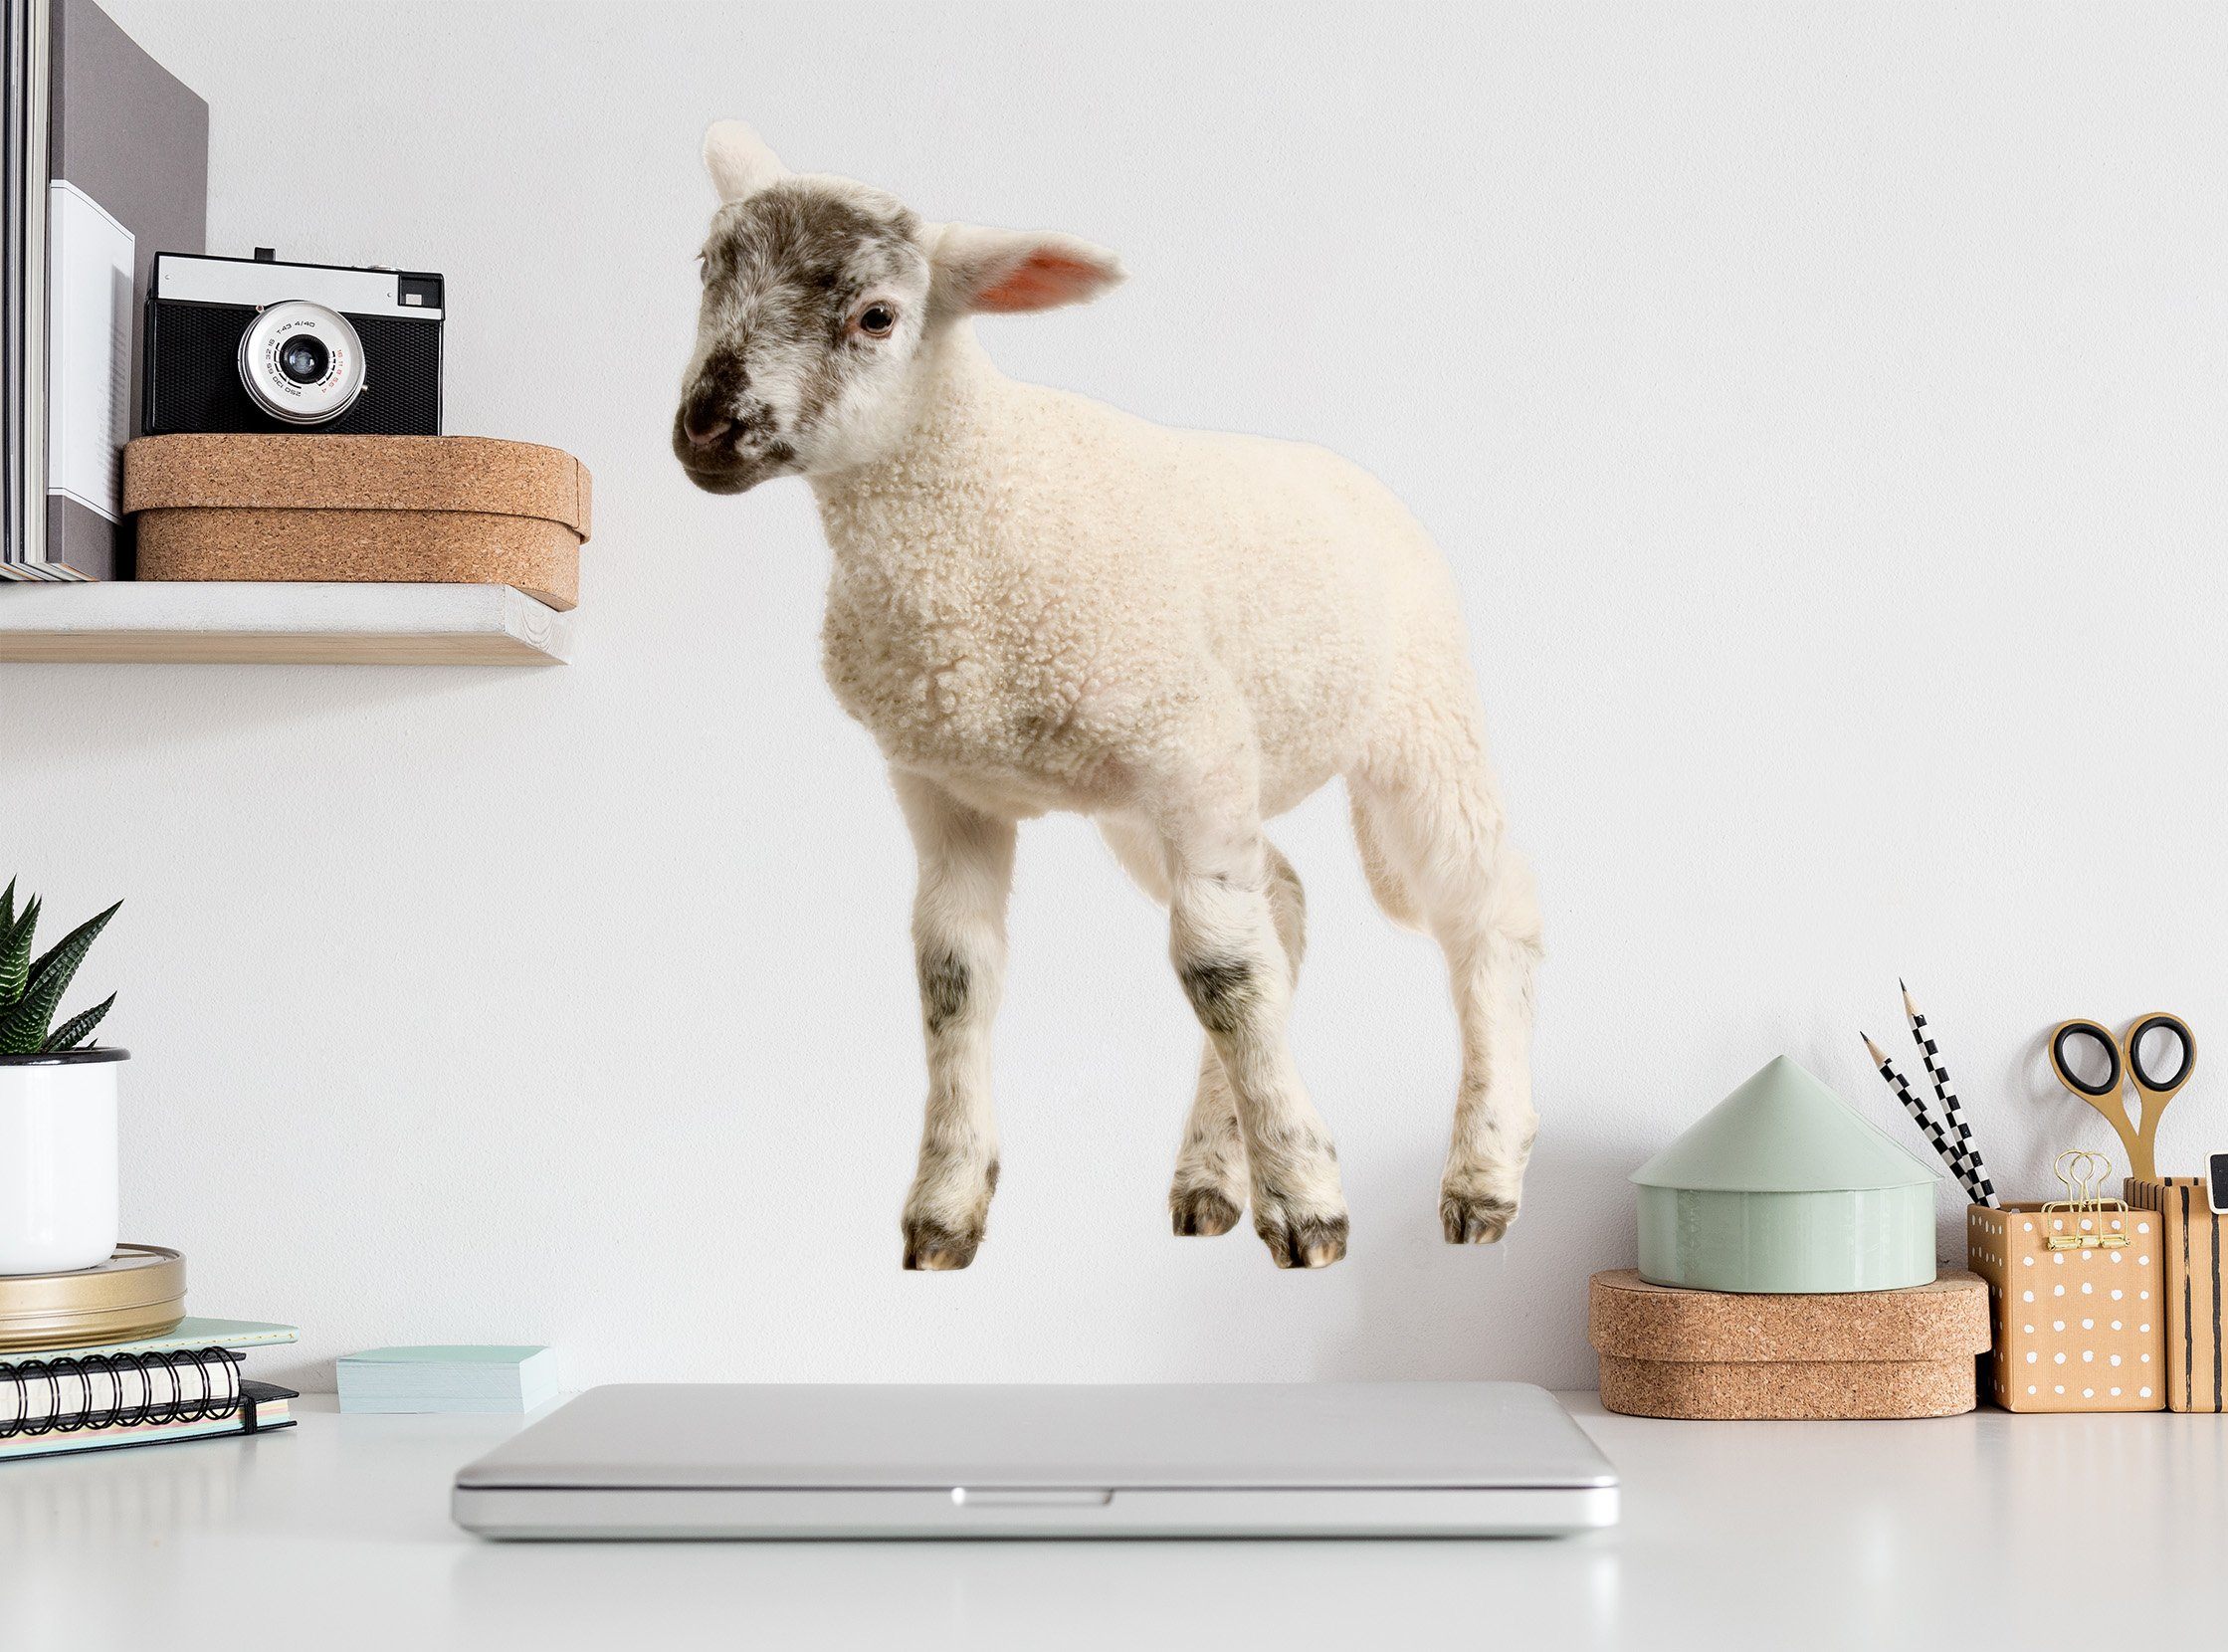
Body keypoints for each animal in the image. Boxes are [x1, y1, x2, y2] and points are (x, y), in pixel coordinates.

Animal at [673, 121, 1541, 1271]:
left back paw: (1483, 1172)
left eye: (876, 316)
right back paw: (1212, 1174)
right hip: (1156, 800)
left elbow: (1221, 973)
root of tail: (1352, 473)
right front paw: (945, 1204)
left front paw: (1308, 1200)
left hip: (1417, 721)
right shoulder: (940, 780)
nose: (704, 429)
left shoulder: (1192, 748)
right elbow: (954, 977)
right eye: (703, 271)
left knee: (1488, 915)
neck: (971, 507)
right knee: (1286, 905)